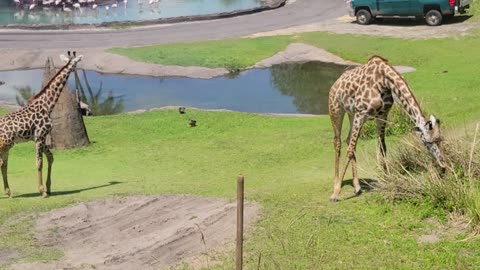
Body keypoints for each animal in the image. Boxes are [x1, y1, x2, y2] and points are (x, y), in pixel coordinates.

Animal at [0, 51, 83, 198]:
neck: (47, 105)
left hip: (7, 146)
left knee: (3, 165)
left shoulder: (41, 137)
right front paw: (42, 191)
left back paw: (9, 192)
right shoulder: (39, 136)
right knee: (2, 164)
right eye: (75, 62)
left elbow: (50, 158)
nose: (76, 71)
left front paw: (49, 188)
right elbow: (39, 163)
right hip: (4, 144)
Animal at [326, 55, 446, 202]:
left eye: (440, 140)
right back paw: (336, 185)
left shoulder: (382, 115)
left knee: (349, 141)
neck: (384, 81)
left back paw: (357, 187)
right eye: (429, 142)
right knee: (338, 142)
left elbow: (382, 147)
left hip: (351, 114)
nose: (443, 166)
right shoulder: (361, 113)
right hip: (336, 109)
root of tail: (335, 83)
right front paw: (336, 193)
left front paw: (388, 179)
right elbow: (349, 151)